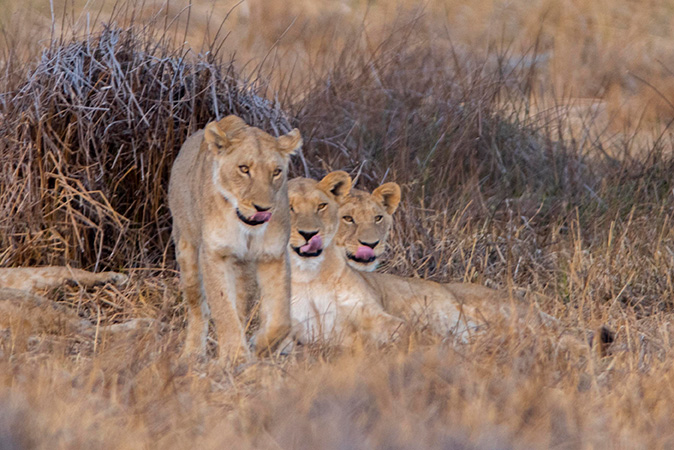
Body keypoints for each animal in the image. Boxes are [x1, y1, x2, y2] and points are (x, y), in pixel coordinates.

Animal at [168, 115, 301, 362]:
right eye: (244, 169)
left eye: (277, 172)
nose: (263, 209)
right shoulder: (214, 254)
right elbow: (223, 309)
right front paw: (236, 356)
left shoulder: (273, 255)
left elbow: (281, 317)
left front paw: (260, 345)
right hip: (186, 247)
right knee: (198, 307)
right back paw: (193, 352)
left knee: (240, 306)